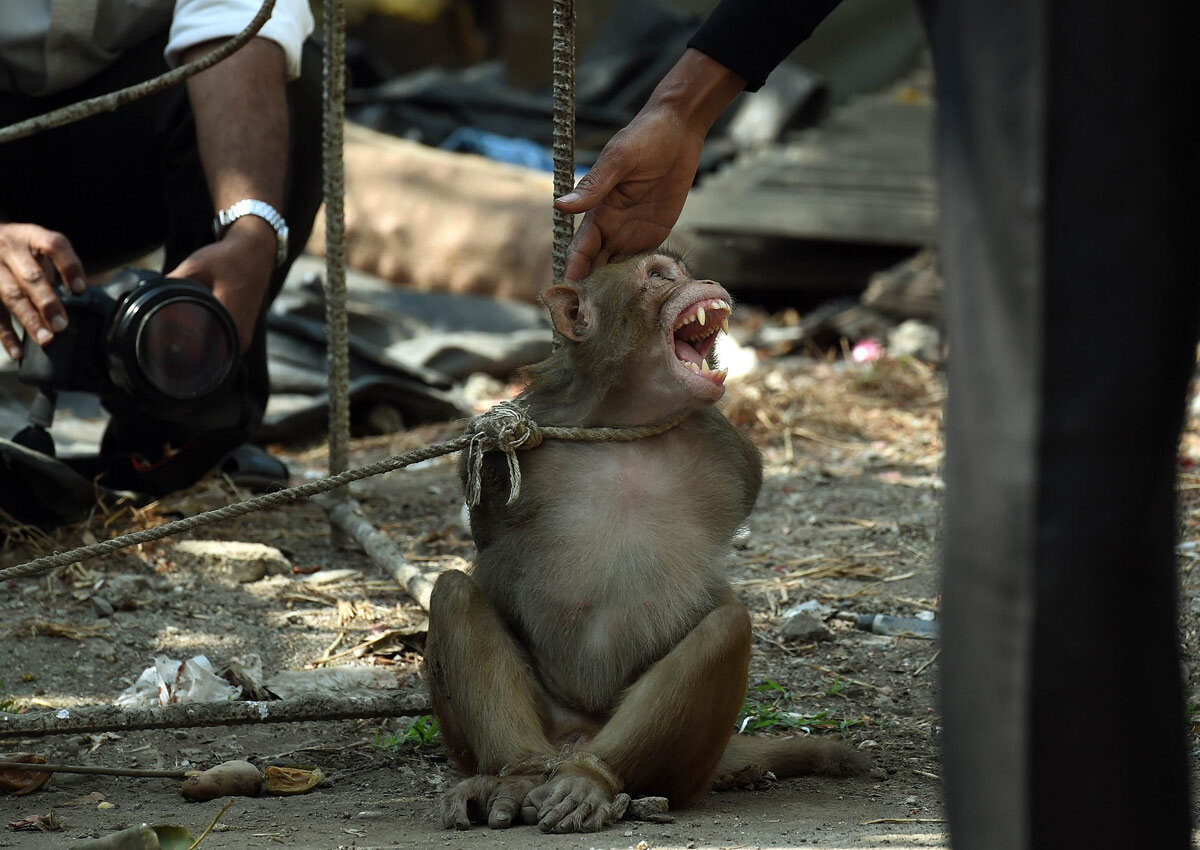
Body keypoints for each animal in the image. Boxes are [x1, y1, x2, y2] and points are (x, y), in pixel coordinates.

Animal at [424, 248, 873, 835]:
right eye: (660, 277)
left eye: (685, 270)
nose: (705, 281)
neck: (625, 419)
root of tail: (575, 742)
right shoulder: (516, 440)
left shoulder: (730, 447)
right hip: (530, 727)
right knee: (453, 594)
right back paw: (516, 774)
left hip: (684, 768)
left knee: (727, 629)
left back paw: (591, 779)